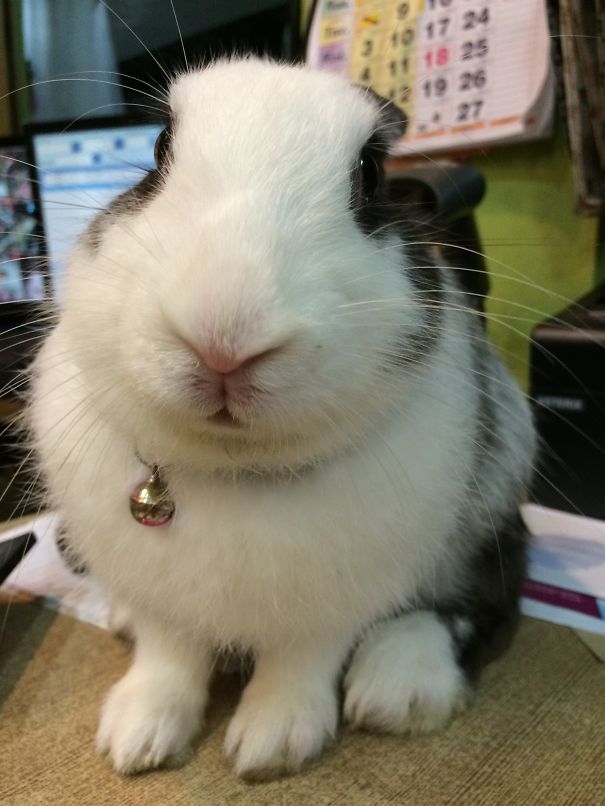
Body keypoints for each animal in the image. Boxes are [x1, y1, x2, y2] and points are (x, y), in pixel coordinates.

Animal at [28, 57, 535, 780]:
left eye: (370, 172)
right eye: (158, 149)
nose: (223, 338)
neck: (234, 467)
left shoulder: (330, 604)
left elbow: (301, 662)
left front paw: (272, 745)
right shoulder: (162, 598)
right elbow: (166, 656)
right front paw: (137, 738)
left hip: (491, 499)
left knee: (488, 589)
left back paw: (398, 685)